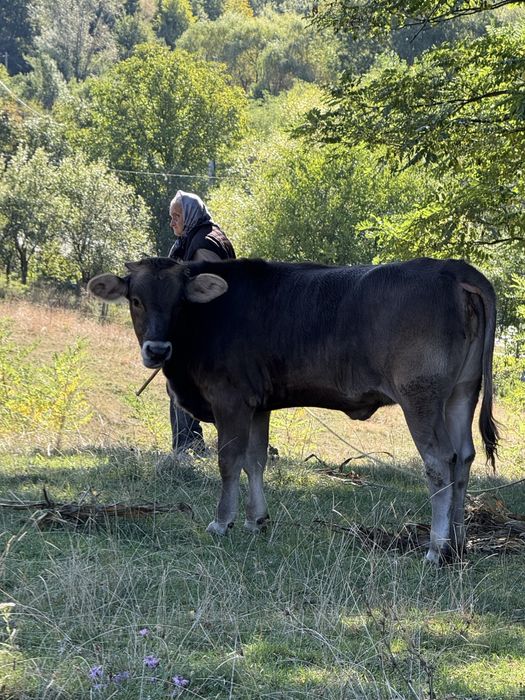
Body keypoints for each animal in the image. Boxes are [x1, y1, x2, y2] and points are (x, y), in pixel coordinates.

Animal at [88, 256, 498, 563]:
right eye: (136, 299)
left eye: (179, 302)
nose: (157, 350)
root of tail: (453, 268)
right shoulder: (257, 404)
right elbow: (254, 460)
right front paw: (256, 520)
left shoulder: (230, 399)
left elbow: (229, 460)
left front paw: (222, 522)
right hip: (461, 393)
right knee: (463, 457)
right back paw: (459, 543)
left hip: (421, 397)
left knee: (439, 461)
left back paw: (436, 549)